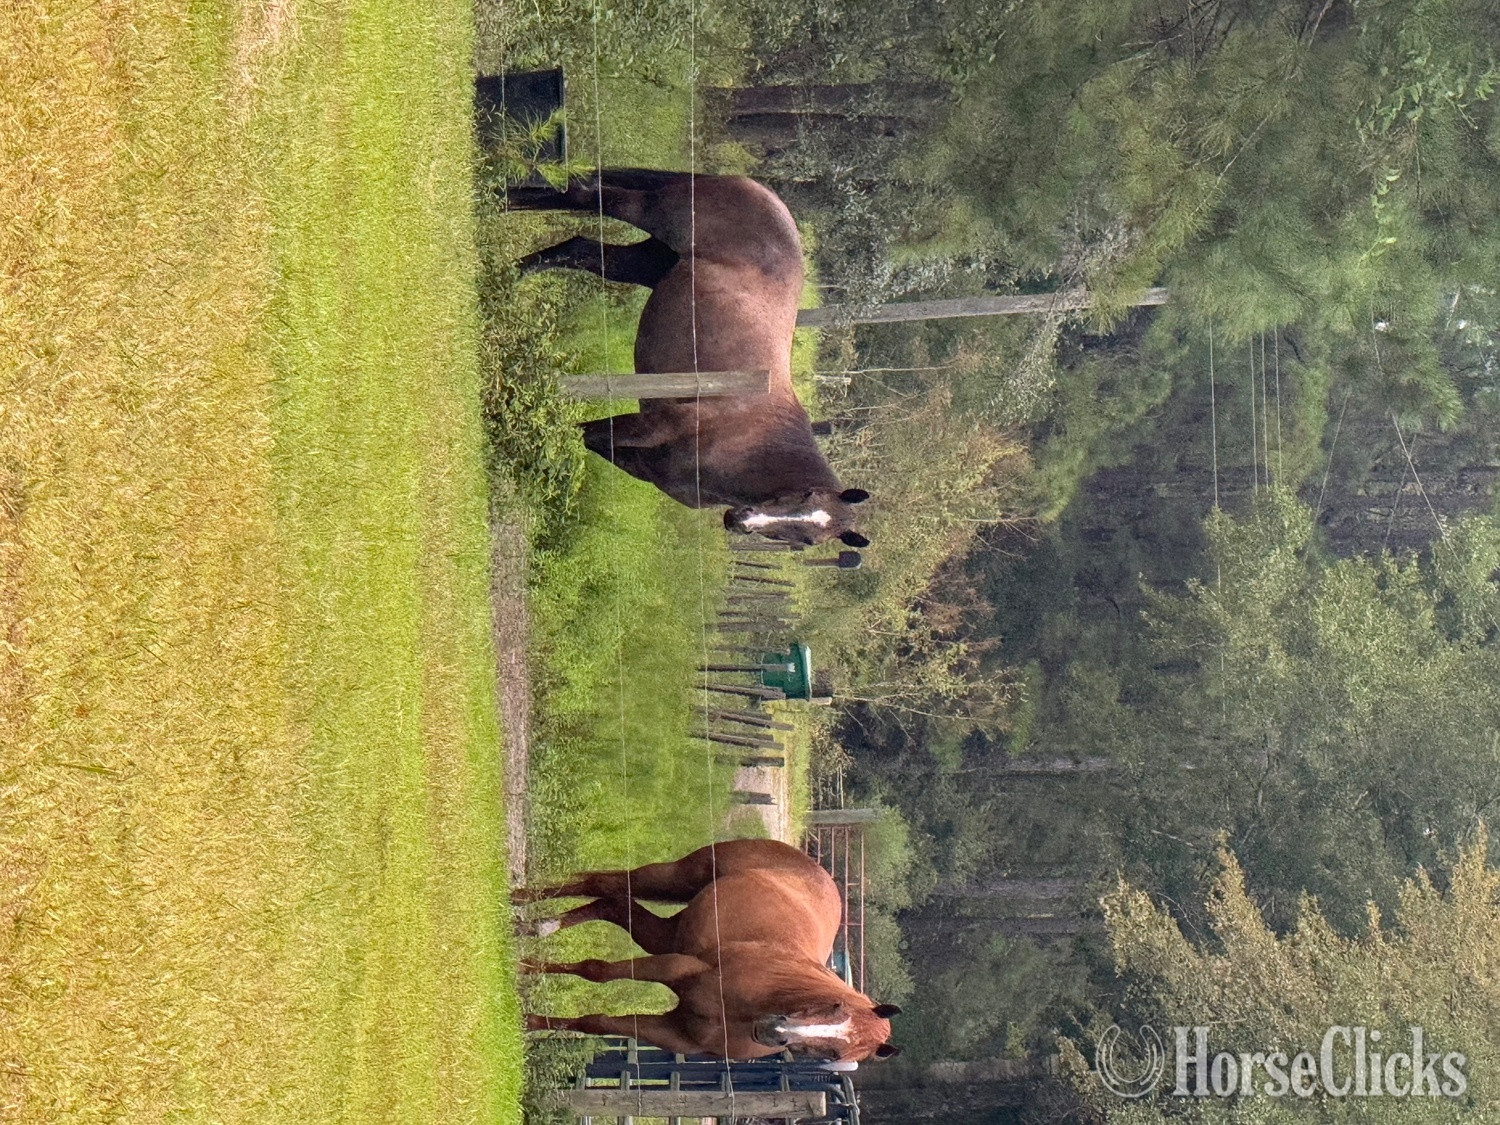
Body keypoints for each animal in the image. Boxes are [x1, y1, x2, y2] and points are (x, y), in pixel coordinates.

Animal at [508, 169, 871, 549]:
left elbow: (583, 438)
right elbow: (573, 430)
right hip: (653, 214)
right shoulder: (649, 425)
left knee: (579, 248)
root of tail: (761, 191)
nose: (740, 520)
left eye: (807, 541)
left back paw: (513, 266)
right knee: (588, 195)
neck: (748, 440)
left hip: (650, 261)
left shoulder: (636, 459)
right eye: (805, 495)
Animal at [518, 838, 901, 1062]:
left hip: (665, 933)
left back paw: (538, 925)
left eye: (833, 1054)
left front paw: (530, 1021)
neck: (742, 1012)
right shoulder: (675, 966)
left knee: (610, 903)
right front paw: (525, 970)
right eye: (834, 1006)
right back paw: (521, 904)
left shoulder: (673, 1033)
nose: (772, 1032)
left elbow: (595, 1022)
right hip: (677, 878)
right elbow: (596, 971)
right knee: (603, 883)